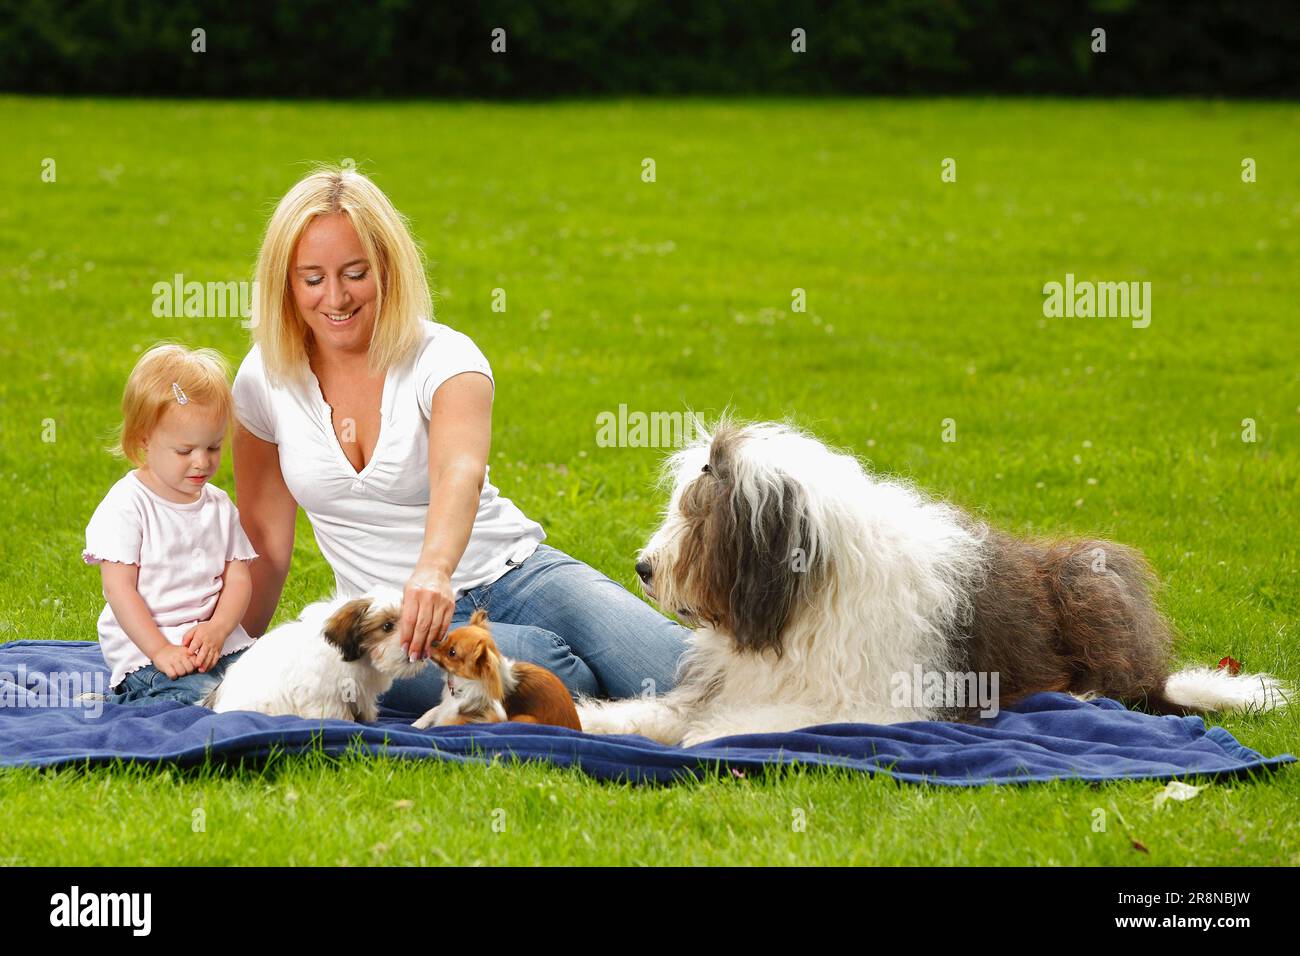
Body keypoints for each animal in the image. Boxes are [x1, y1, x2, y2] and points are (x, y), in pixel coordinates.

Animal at [579, 418, 1289, 749]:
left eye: (701, 518)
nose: (643, 568)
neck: (800, 601)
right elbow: (658, 713)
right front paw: (593, 719)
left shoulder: (876, 704)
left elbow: (752, 723)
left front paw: (711, 737)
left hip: (1091, 579)